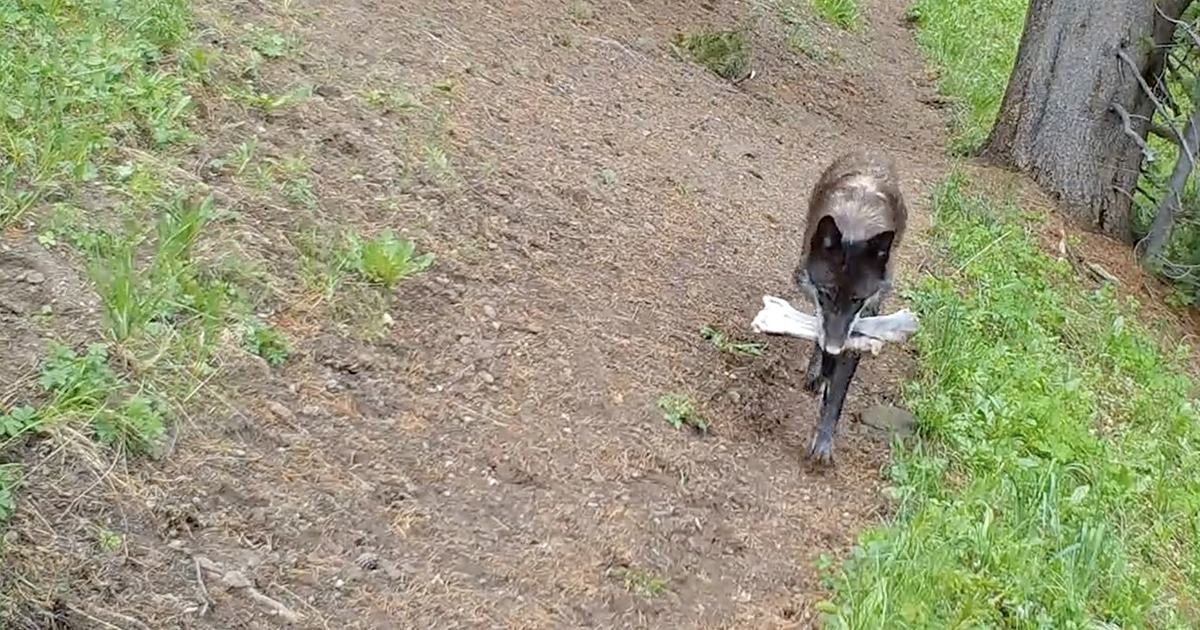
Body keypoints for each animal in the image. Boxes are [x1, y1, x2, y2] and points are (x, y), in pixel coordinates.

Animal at [792, 150, 902, 463]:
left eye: (856, 299)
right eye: (827, 293)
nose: (834, 347)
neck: (856, 228)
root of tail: (871, 152)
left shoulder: (862, 320)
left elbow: (836, 397)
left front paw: (823, 445)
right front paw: (820, 370)